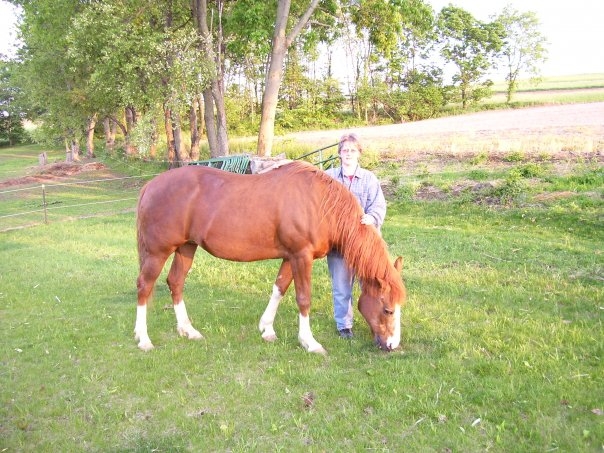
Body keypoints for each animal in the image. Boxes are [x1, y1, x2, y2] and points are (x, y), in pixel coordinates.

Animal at [134, 162, 404, 354]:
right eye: (388, 310)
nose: (392, 345)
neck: (320, 204)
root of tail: (151, 186)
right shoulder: (301, 256)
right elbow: (303, 298)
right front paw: (309, 342)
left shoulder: (290, 257)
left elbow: (279, 289)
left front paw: (266, 329)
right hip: (158, 252)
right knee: (145, 286)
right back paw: (143, 339)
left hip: (186, 248)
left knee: (176, 282)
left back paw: (188, 330)